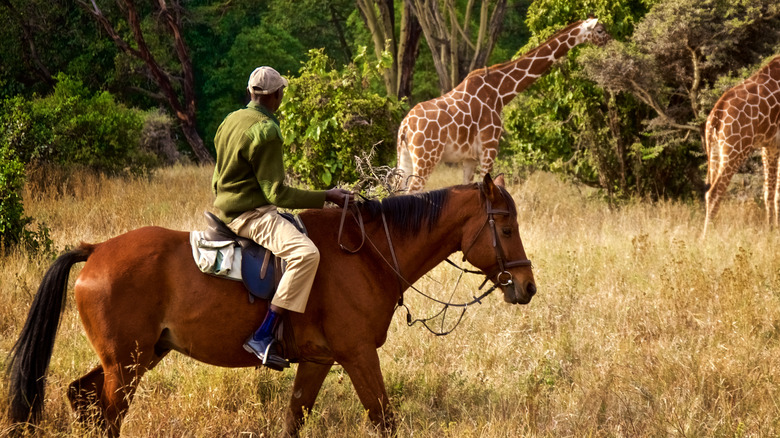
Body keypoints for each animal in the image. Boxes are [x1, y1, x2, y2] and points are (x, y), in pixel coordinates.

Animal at [7, 174, 536, 434]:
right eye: (506, 226)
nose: (527, 287)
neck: (369, 254)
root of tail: (97, 251)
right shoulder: (359, 355)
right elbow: (384, 419)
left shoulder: (321, 360)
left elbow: (294, 418)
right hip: (127, 364)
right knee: (108, 413)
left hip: (137, 357)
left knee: (83, 397)